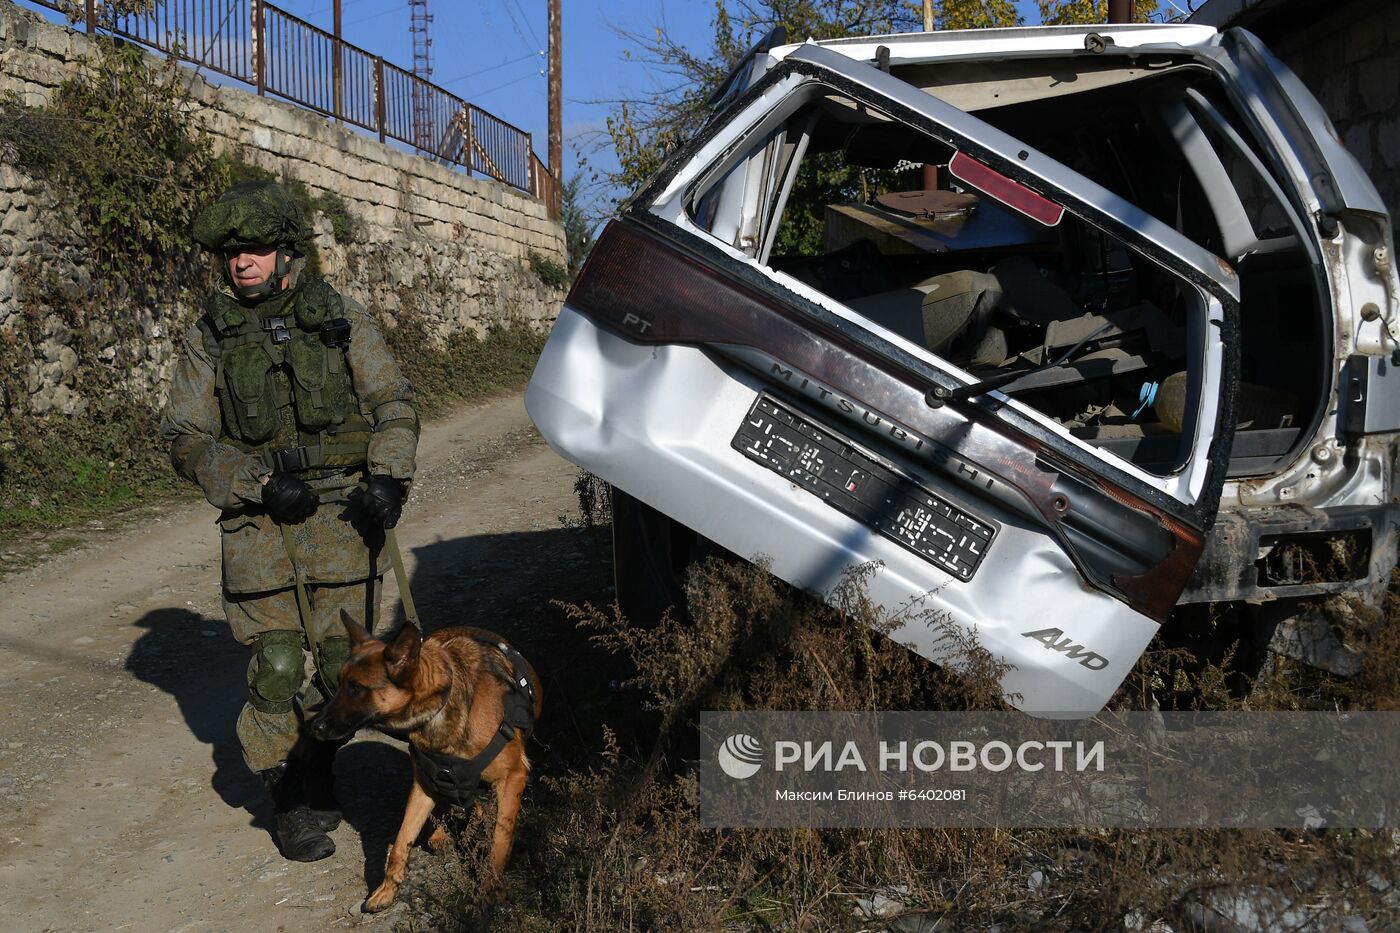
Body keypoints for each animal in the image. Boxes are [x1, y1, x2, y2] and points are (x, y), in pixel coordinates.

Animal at [306, 610, 540, 907]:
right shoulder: (424, 782)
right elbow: (401, 840)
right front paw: (387, 890)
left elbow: (499, 841)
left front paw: (490, 889)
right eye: (338, 685)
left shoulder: (513, 778)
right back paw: (441, 833)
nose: (314, 727)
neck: (441, 704)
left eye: (357, 688)